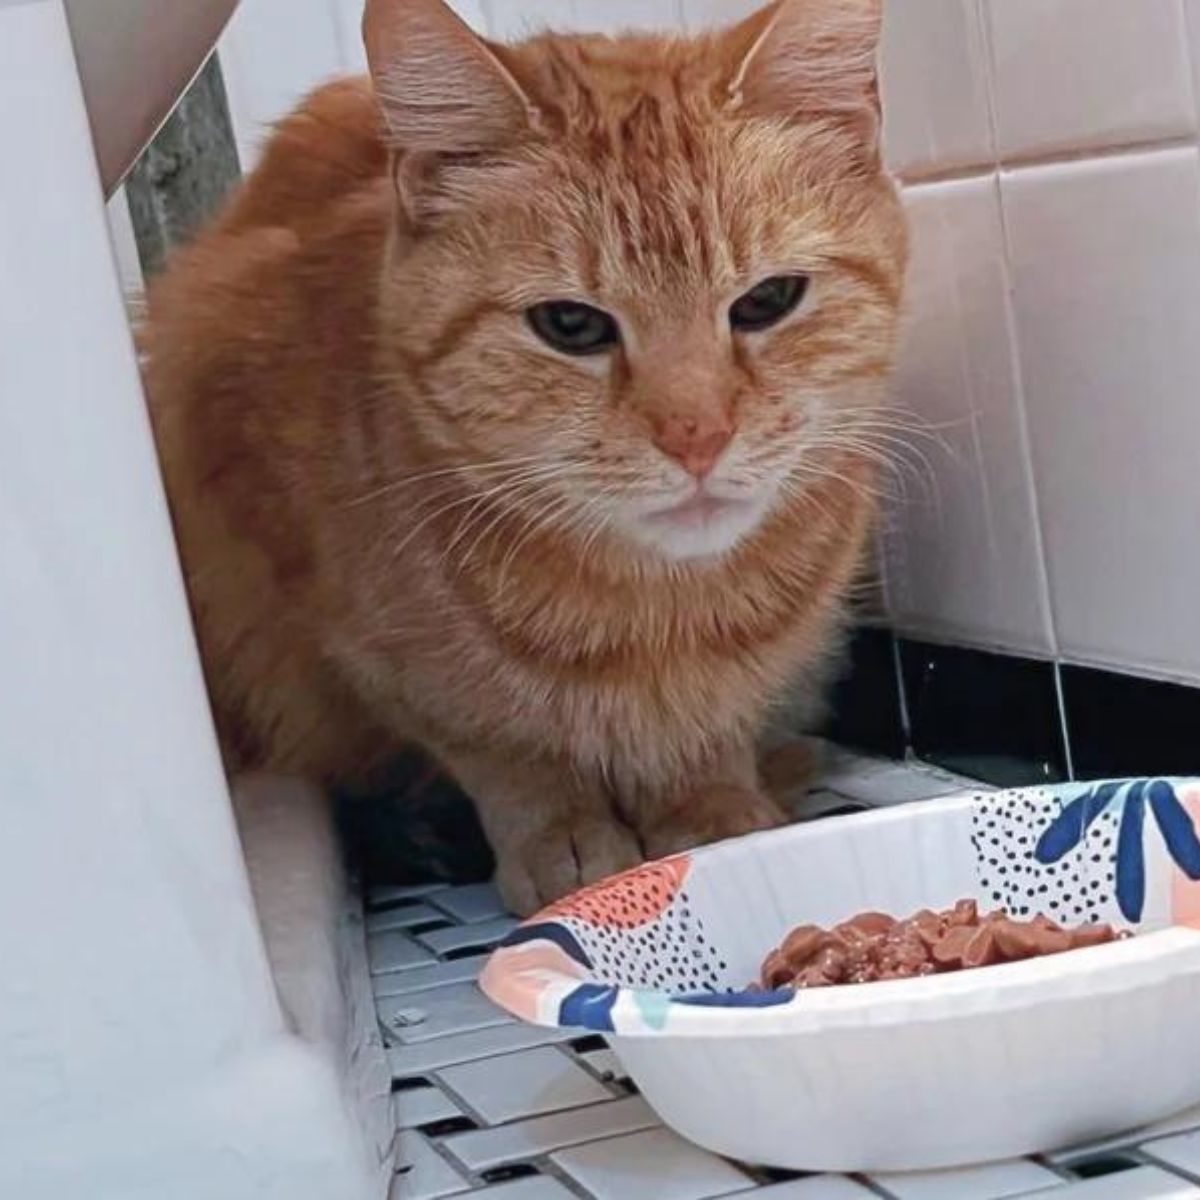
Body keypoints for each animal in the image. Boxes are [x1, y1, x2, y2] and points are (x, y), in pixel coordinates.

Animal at [142, 0, 907, 907]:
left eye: (767, 301)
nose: (698, 435)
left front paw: (710, 805)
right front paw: (560, 830)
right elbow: (501, 749)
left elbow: (711, 727)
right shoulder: (359, 643)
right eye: (570, 325)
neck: (659, 618)